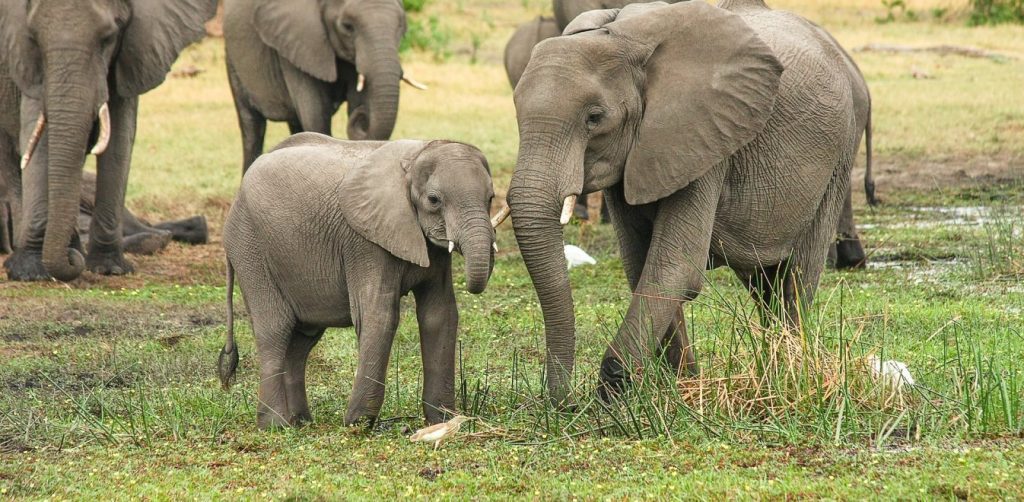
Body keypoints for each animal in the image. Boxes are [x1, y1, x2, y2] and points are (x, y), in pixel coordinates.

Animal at [1, 0, 218, 282]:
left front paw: (109, 268)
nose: (72, 261)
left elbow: (120, 139)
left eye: (108, 39)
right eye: (34, 38)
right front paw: (29, 273)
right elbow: (36, 137)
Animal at [220, 132, 499, 428]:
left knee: (302, 339)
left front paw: (442, 421)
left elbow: (440, 314)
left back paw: (301, 422)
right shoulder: (364, 242)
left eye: (491, 198)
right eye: (434, 200)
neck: (415, 157)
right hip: (250, 247)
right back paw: (275, 425)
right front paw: (358, 423)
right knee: (275, 329)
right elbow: (379, 314)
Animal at [226, 0, 425, 172]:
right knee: (252, 127)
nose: (363, 116)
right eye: (347, 26)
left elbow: (356, 101)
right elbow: (315, 115)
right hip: (233, 62)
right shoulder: (301, 44)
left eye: (401, 27)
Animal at [503, 0, 864, 401]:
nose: (563, 403)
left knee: (796, 277)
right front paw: (682, 387)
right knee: (763, 284)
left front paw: (614, 393)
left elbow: (675, 266)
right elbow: (641, 264)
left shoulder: (705, 137)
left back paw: (788, 375)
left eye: (594, 118)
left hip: (838, 157)